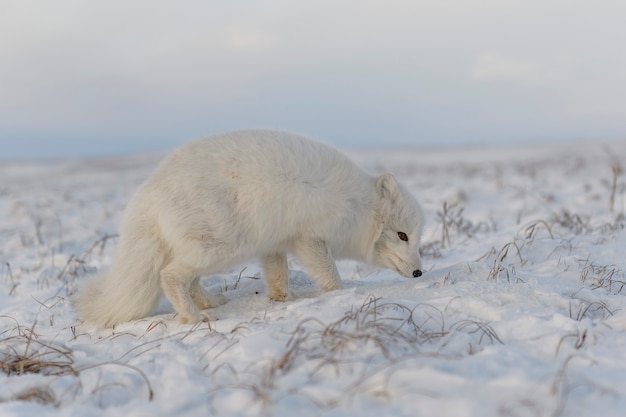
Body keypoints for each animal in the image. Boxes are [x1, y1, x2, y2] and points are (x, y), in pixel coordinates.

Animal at [74, 128, 424, 326]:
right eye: (402, 235)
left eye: (415, 238)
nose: (420, 272)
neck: (357, 205)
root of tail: (147, 194)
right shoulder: (311, 239)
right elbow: (330, 275)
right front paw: (343, 296)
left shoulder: (274, 244)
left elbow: (278, 275)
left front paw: (282, 300)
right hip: (219, 246)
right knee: (170, 276)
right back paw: (194, 317)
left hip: (207, 248)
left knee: (190, 279)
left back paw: (210, 302)